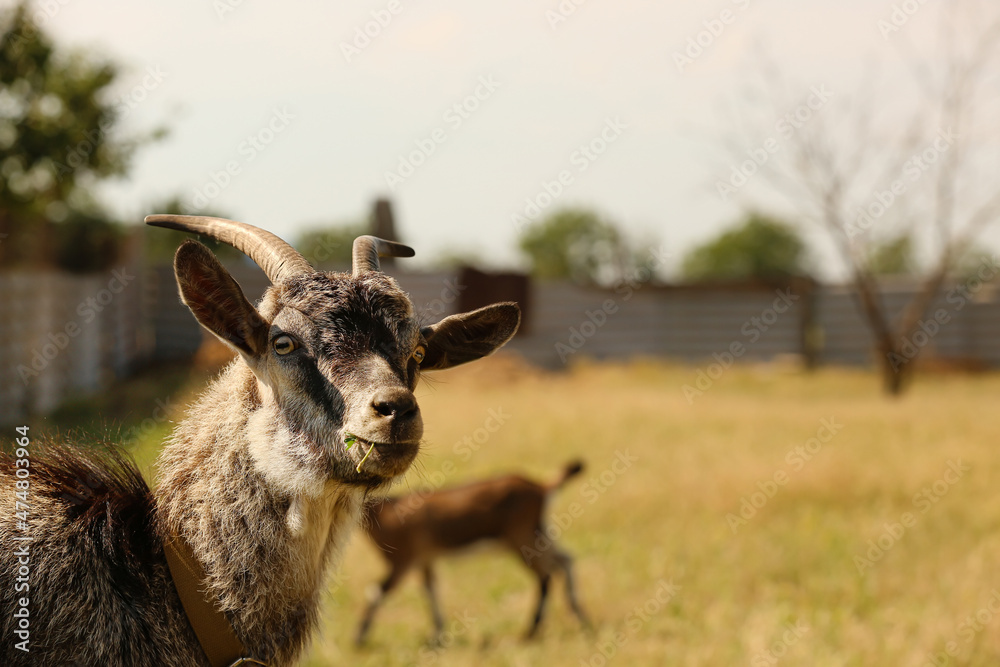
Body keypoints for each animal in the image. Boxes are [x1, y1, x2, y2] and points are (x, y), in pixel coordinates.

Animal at [356, 462, 588, 644]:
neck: (385, 513)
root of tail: (541, 487)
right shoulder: (425, 559)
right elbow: (430, 590)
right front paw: (438, 636)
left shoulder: (403, 560)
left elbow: (376, 591)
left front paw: (359, 639)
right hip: (539, 534)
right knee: (565, 560)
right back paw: (580, 618)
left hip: (522, 540)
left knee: (546, 575)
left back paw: (530, 632)